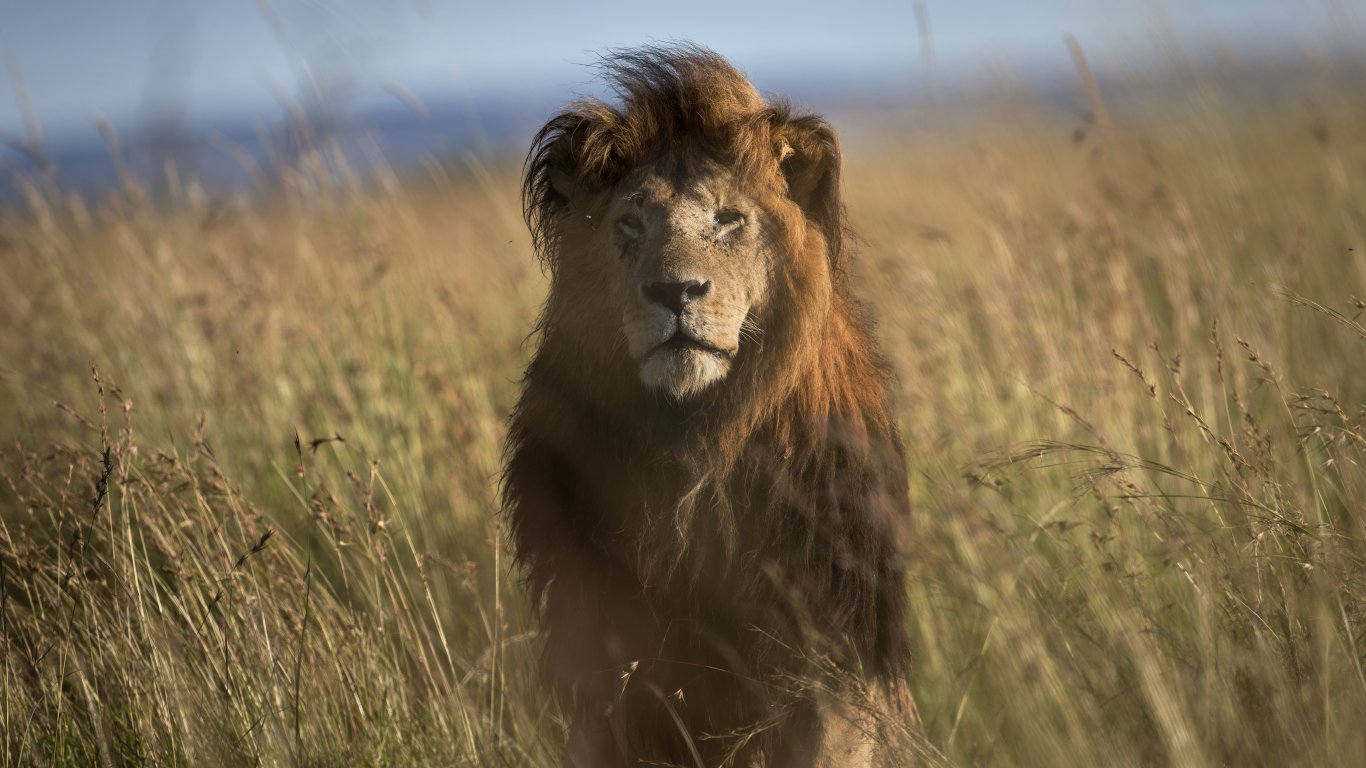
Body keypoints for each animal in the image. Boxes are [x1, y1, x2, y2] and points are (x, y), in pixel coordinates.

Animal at [502, 44, 917, 759]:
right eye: (630, 224)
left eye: (728, 221)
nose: (675, 291)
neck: (694, 442)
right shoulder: (607, 661)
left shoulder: (834, 648)